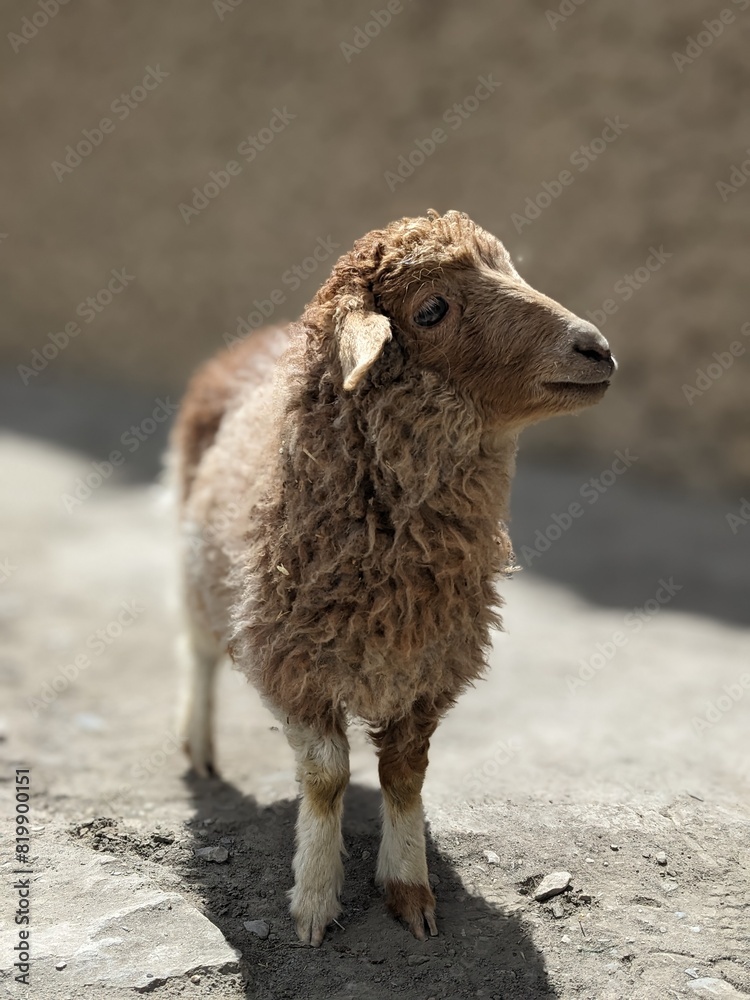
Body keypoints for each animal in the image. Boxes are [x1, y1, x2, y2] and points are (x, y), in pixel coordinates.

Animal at [172, 209, 615, 946]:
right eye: (431, 309)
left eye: (510, 269)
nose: (597, 349)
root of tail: (261, 336)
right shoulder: (293, 662)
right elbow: (325, 777)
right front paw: (315, 901)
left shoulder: (429, 667)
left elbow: (405, 776)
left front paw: (409, 890)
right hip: (196, 568)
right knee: (201, 656)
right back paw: (200, 745)